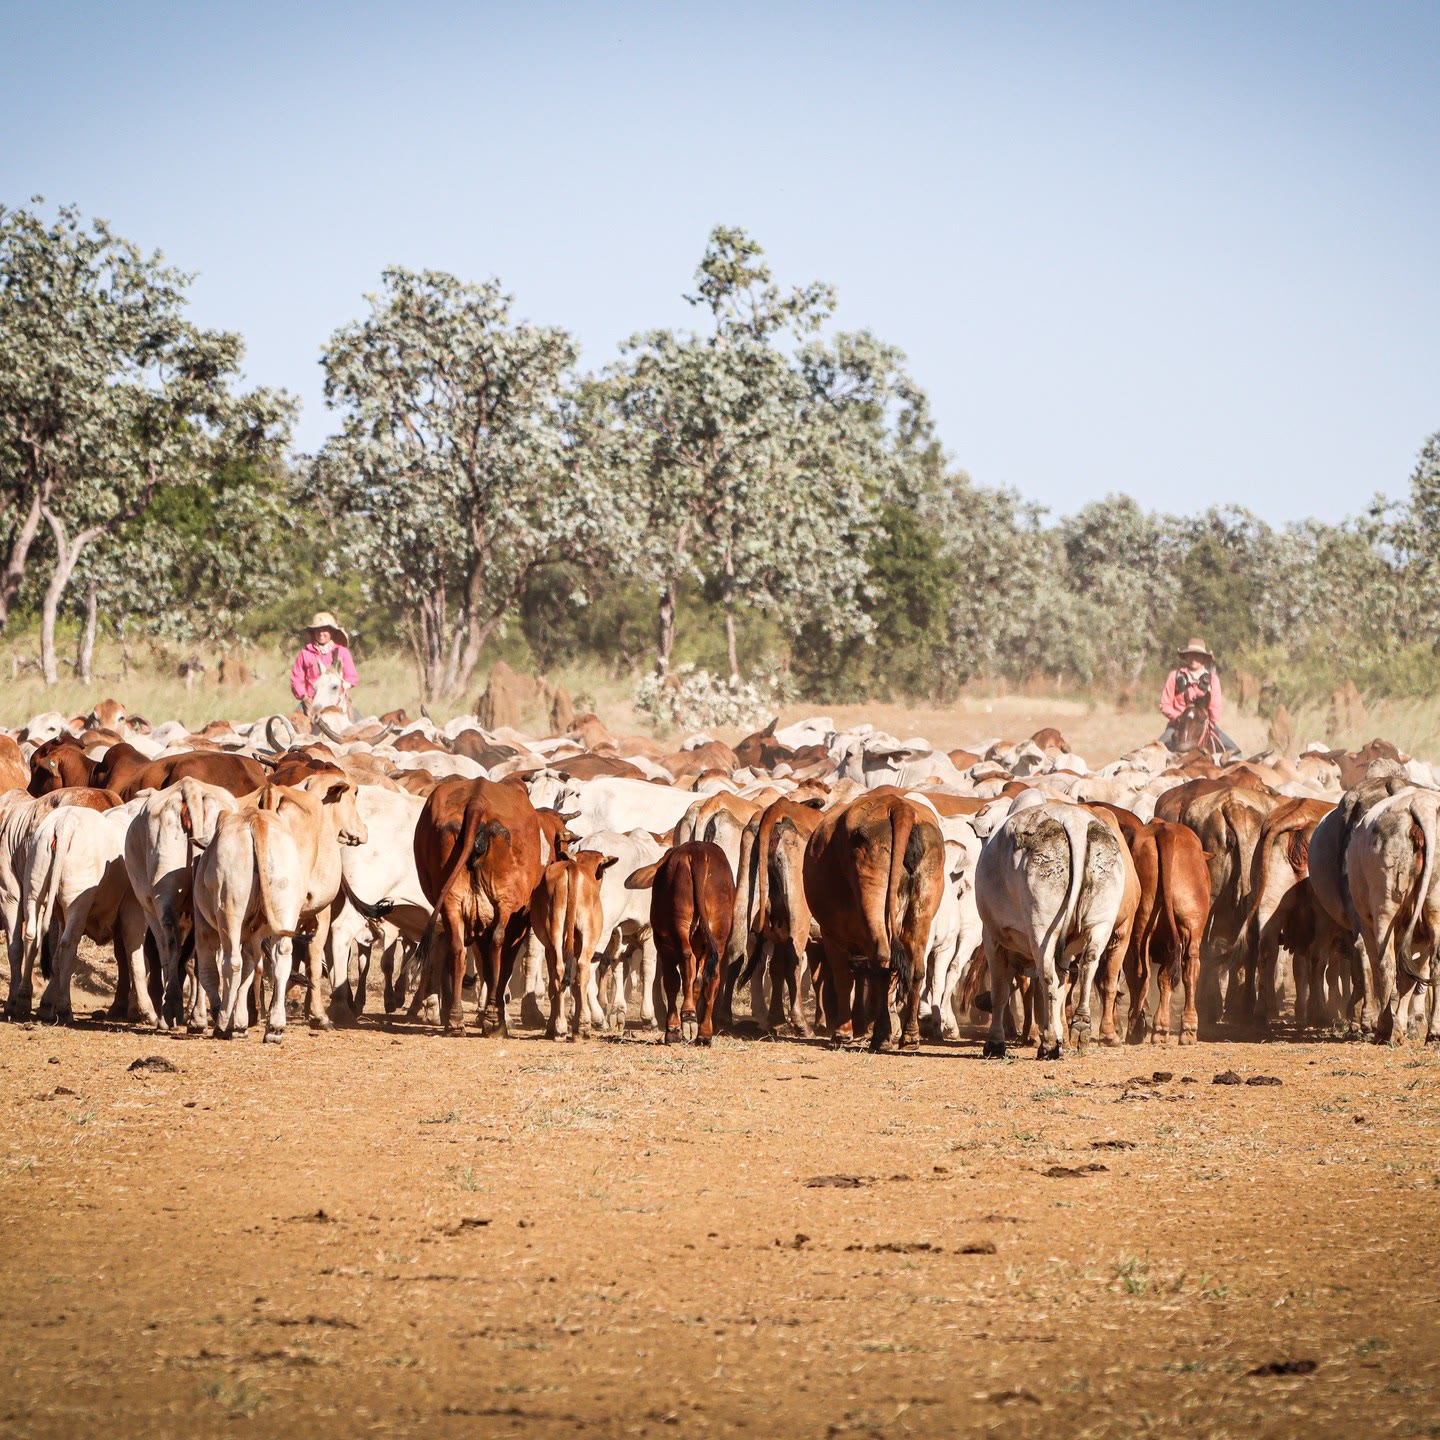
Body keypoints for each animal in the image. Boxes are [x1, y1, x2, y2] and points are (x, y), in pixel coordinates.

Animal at [412, 777, 543, 1036]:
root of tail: (476, 802)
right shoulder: (519, 922)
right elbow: (501, 966)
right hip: (505, 902)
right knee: (497, 942)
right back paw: (493, 1021)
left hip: (451, 901)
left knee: (457, 948)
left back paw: (455, 1020)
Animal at [625, 841, 734, 1045]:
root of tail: (698, 853)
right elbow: (697, 982)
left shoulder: (662, 945)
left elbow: (672, 982)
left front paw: (674, 1028)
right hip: (718, 932)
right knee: (712, 977)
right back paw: (704, 1032)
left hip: (678, 925)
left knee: (686, 962)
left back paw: (688, 1015)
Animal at [802, 792, 945, 1050]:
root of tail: (898, 806)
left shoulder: (832, 935)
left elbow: (843, 978)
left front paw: (842, 1033)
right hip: (922, 909)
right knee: (915, 969)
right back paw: (909, 1036)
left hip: (874, 902)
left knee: (883, 961)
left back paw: (881, 1035)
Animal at [975, 802, 1130, 1060]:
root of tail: (1074, 820)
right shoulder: (1065, 951)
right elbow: (1060, 986)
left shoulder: (992, 939)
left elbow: (1000, 993)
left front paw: (995, 1043)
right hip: (1101, 922)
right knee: (1087, 964)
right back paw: (1080, 1026)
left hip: (1042, 928)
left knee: (1047, 975)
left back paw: (1048, 1043)